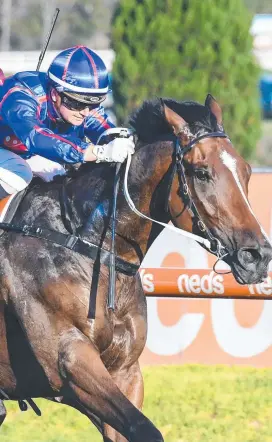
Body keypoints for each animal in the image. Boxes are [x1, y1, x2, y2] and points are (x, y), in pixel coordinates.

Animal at [0, 94, 272, 442]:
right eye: (201, 172)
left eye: (246, 171)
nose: (257, 255)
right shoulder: (69, 362)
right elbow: (144, 428)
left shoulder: (124, 371)